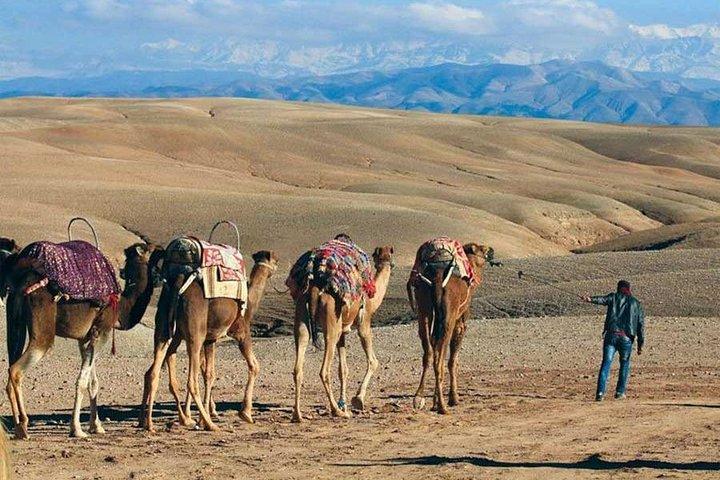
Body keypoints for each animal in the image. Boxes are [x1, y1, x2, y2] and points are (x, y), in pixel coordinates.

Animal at [1, 242, 163, 439]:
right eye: (150, 249)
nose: (160, 247)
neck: (120, 307)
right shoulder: (102, 331)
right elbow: (82, 382)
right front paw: (77, 429)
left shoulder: (85, 337)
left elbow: (93, 382)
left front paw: (97, 426)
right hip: (43, 329)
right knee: (16, 370)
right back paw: (23, 426)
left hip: (15, 323)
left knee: (11, 366)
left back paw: (18, 427)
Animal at [139, 250, 278, 432]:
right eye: (275, 260)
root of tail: (178, 284)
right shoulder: (241, 331)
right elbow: (254, 366)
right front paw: (245, 413)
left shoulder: (210, 339)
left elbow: (209, 374)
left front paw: (203, 415)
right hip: (194, 334)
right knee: (190, 381)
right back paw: (208, 424)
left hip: (165, 329)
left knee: (153, 372)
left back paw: (148, 423)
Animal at [291, 245, 394, 422]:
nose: (389, 262)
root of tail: (314, 288)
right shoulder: (364, 323)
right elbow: (373, 361)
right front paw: (357, 400)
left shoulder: (343, 333)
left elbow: (343, 370)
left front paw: (344, 403)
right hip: (331, 322)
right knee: (324, 370)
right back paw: (337, 411)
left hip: (302, 312)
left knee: (299, 363)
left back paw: (298, 415)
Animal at [408, 242, 492, 414]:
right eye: (481, 249)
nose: (491, 250)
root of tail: (438, 279)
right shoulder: (461, 320)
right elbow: (453, 360)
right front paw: (454, 398)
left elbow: (435, 347)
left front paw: (433, 401)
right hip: (449, 315)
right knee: (440, 357)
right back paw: (442, 406)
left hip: (423, 306)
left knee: (429, 353)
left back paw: (419, 397)